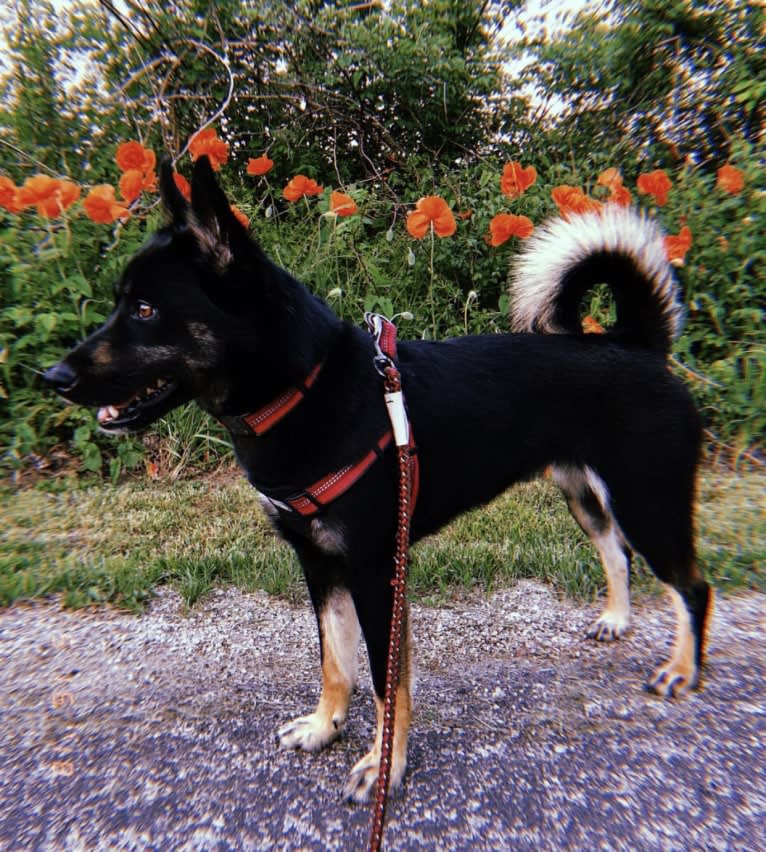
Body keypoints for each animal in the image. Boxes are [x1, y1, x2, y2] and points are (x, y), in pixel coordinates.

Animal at [42, 156, 712, 804]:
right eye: (120, 303)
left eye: (146, 310)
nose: (53, 378)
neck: (306, 390)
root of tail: (638, 344)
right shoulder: (319, 565)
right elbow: (335, 661)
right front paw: (325, 726)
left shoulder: (376, 572)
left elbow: (388, 682)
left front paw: (383, 767)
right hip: (581, 491)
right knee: (615, 549)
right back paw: (618, 619)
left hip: (648, 500)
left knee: (690, 586)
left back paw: (682, 669)